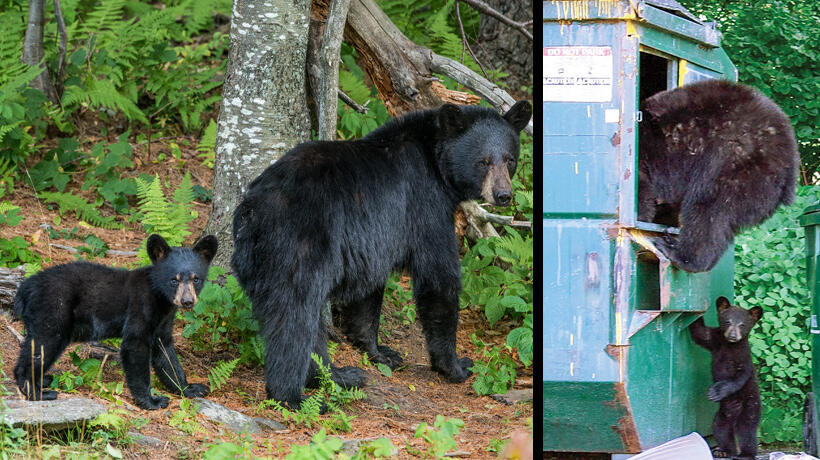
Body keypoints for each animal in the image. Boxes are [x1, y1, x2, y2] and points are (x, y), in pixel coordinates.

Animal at [14, 234, 218, 410]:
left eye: (196, 279)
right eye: (174, 280)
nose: (187, 301)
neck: (161, 299)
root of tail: (26, 287)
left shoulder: (163, 322)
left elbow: (166, 354)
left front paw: (191, 388)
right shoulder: (140, 308)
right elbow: (135, 348)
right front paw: (152, 401)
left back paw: (42, 380)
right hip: (54, 309)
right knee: (43, 345)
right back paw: (38, 392)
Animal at [234, 99, 536, 406]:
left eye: (509, 159)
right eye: (483, 161)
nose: (503, 195)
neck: (434, 160)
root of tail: (254, 210)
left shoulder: (373, 239)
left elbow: (368, 292)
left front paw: (380, 351)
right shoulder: (424, 205)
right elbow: (438, 277)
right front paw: (455, 365)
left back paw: (339, 374)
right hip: (300, 245)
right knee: (295, 316)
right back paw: (292, 395)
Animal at [684, 296, 764, 458]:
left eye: (742, 324)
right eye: (728, 321)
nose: (733, 336)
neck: (730, 346)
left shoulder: (743, 358)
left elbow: (739, 377)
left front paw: (716, 392)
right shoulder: (715, 340)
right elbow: (701, 333)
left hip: (751, 405)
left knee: (747, 430)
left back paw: (746, 453)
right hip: (722, 415)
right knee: (721, 429)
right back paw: (724, 451)